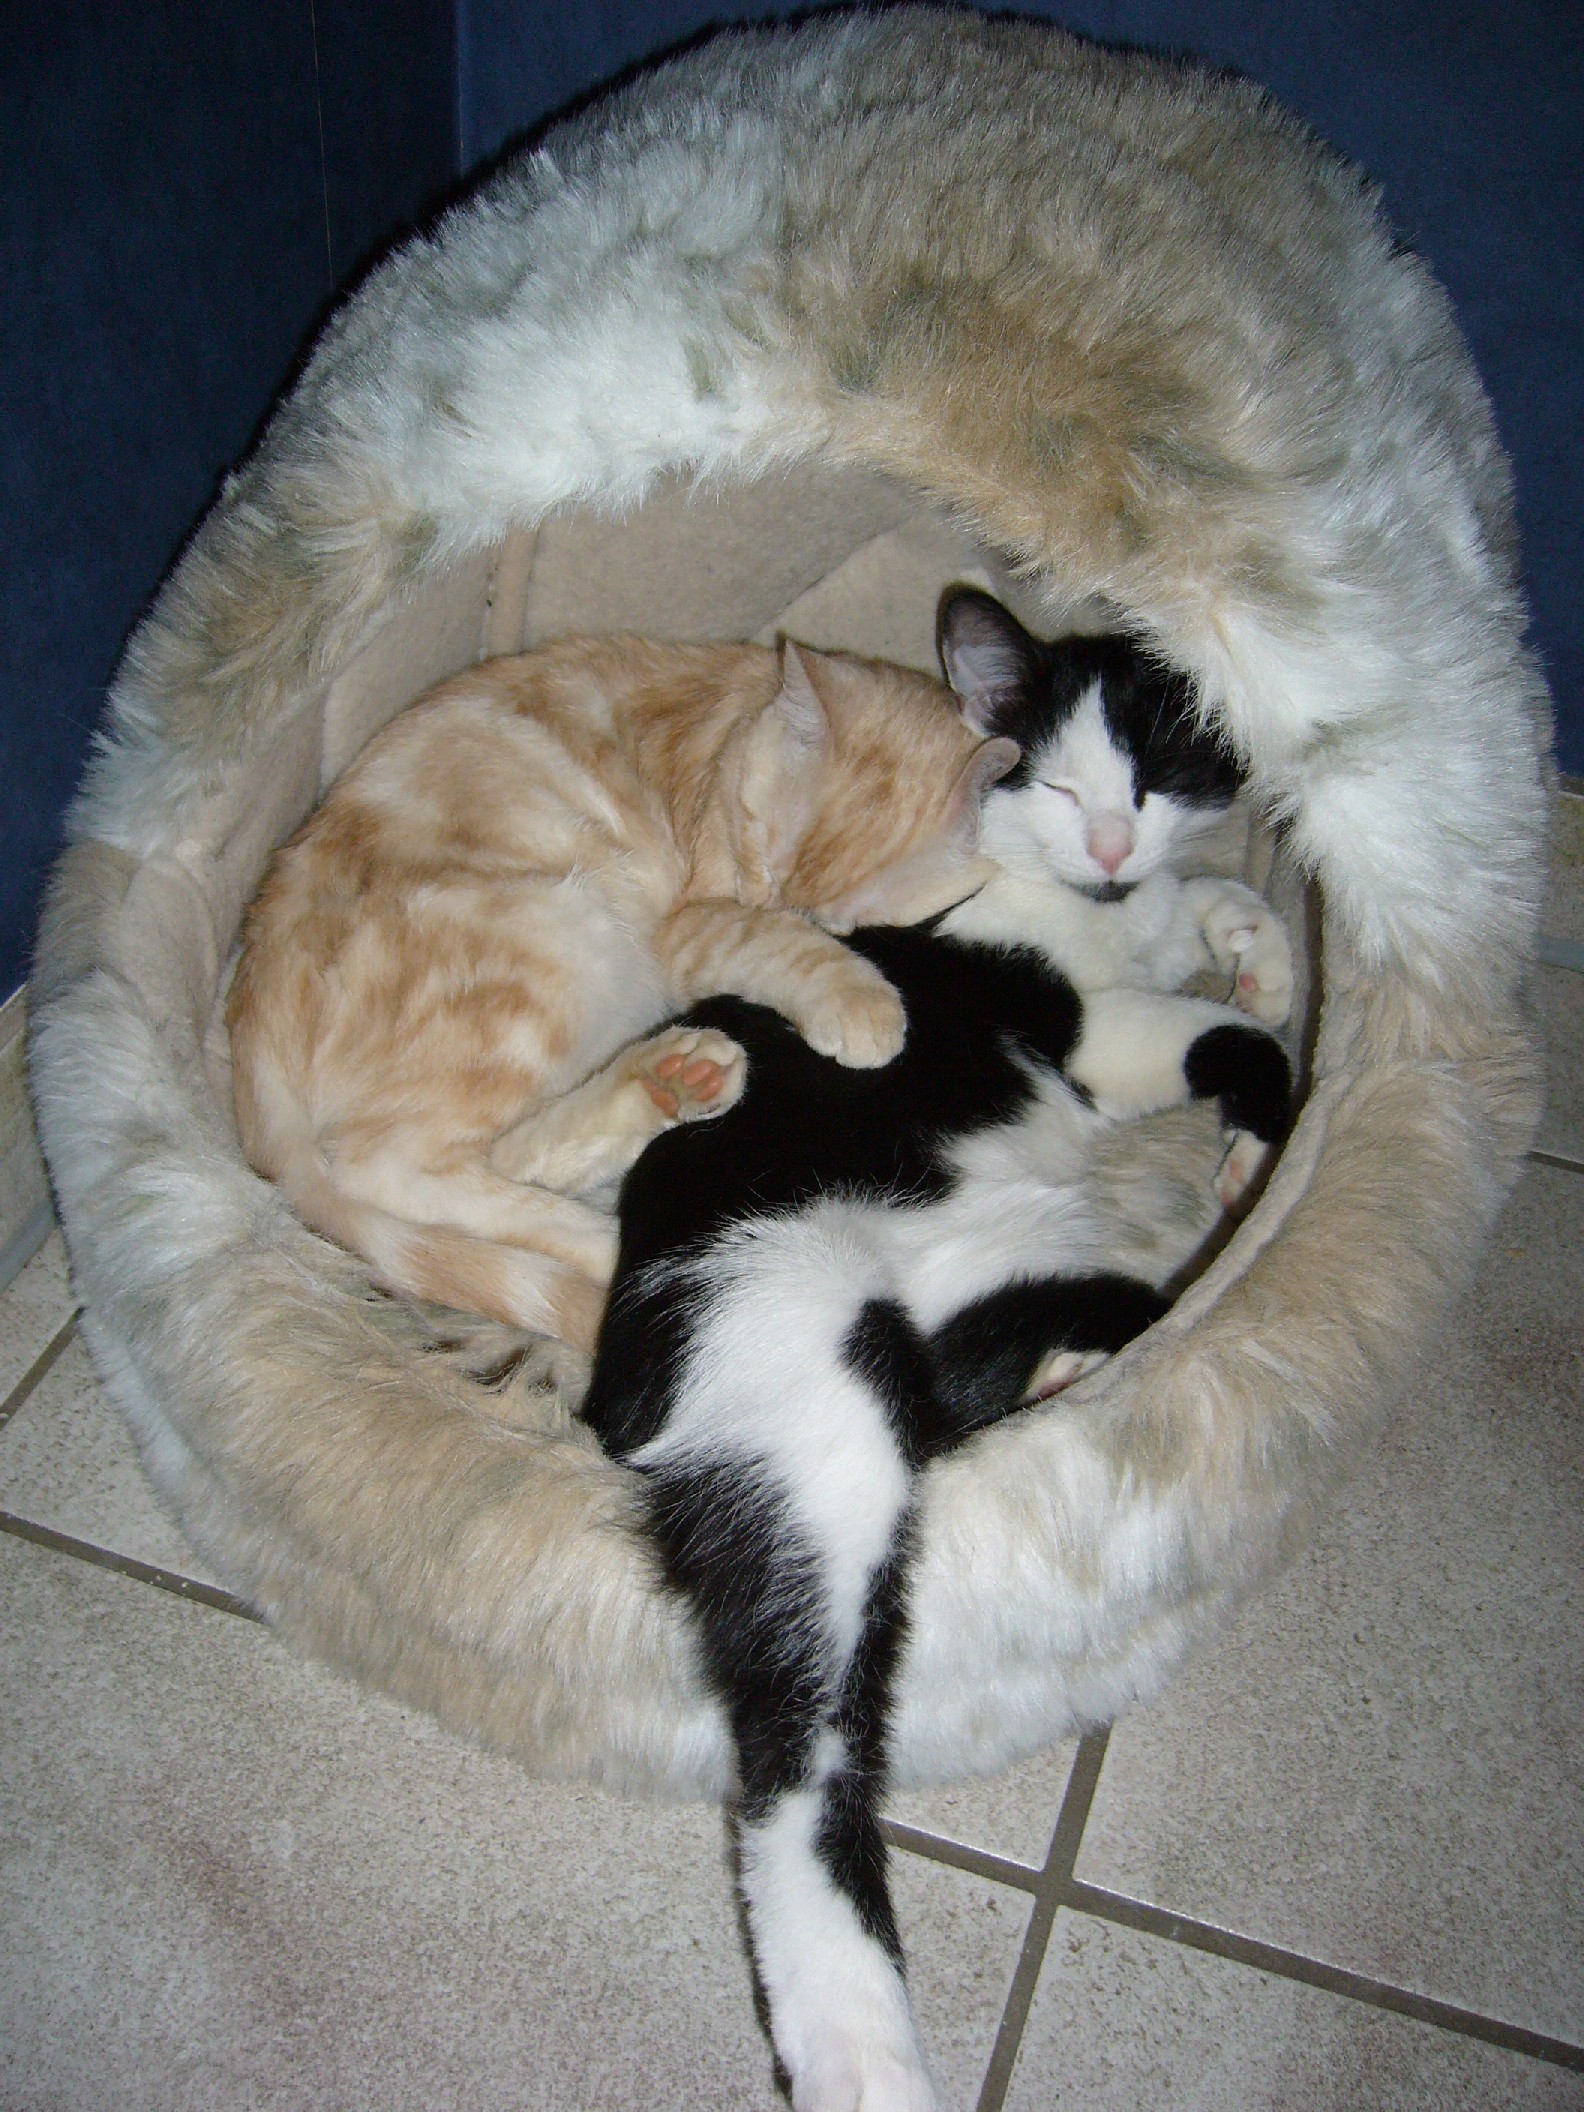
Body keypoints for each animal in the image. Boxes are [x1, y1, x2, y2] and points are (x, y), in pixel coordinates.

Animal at [226, 634, 1017, 1353]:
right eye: (761, 858)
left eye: (843, 919)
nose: (769, 899)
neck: (732, 729)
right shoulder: (685, 928)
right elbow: (767, 942)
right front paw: (857, 997)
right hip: (563, 944)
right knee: (386, 1167)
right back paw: (641, 1252)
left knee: (501, 1154)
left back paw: (672, 1085)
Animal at [578, 592, 1295, 2112]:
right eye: (1057, 783)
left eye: (1153, 775)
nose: (1109, 849)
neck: (1080, 910)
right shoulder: (1089, 1029)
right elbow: (1226, 1035)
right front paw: (1256, 1131)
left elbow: (1216, 920)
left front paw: (1253, 936)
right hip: (800, 1375)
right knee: (802, 1755)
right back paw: (862, 2050)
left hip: (998, 1265)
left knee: (1023, 1349)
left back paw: (1061, 1372)